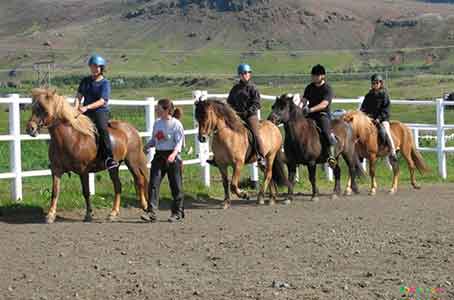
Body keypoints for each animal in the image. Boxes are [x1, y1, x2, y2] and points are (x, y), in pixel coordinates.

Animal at [26, 88, 149, 223]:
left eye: (44, 109)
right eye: (33, 107)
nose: (30, 129)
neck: (70, 138)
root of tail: (131, 129)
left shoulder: (83, 171)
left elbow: (86, 192)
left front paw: (88, 215)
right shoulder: (56, 170)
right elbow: (55, 192)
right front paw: (50, 215)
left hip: (132, 161)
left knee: (139, 180)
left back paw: (144, 206)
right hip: (114, 166)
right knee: (118, 185)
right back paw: (113, 213)